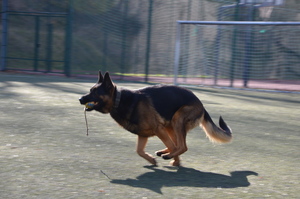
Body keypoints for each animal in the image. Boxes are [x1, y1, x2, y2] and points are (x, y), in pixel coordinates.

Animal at [78, 71, 231, 166]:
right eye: (90, 90)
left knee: (182, 146)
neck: (119, 100)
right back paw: (167, 155)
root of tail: (201, 104)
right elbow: (139, 151)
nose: (80, 99)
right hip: (170, 126)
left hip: (176, 120)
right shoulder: (143, 134)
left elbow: (172, 146)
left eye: (94, 92)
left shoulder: (158, 129)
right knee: (178, 144)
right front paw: (152, 161)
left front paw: (173, 160)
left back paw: (169, 155)